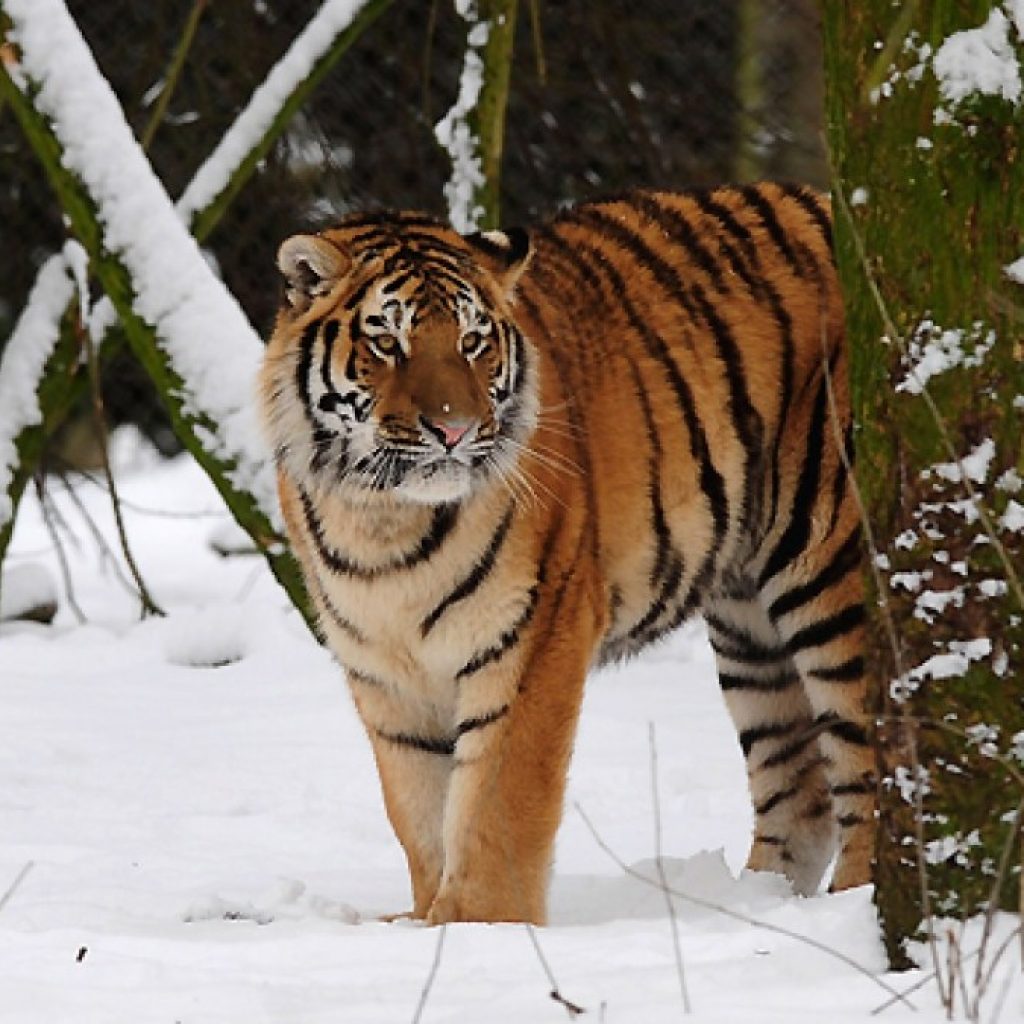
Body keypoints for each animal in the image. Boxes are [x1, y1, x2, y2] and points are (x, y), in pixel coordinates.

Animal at [259, 183, 876, 926]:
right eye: (387, 341)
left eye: (472, 342)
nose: (453, 430)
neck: (382, 519)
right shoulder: (382, 672)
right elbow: (419, 810)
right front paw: (425, 921)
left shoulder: (531, 635)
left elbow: (496, 802)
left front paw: (478, 926)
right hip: (747, 621)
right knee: (799, 787)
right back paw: (750, 906)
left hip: (833, 576)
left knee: (878, 762)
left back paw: (856, 907)